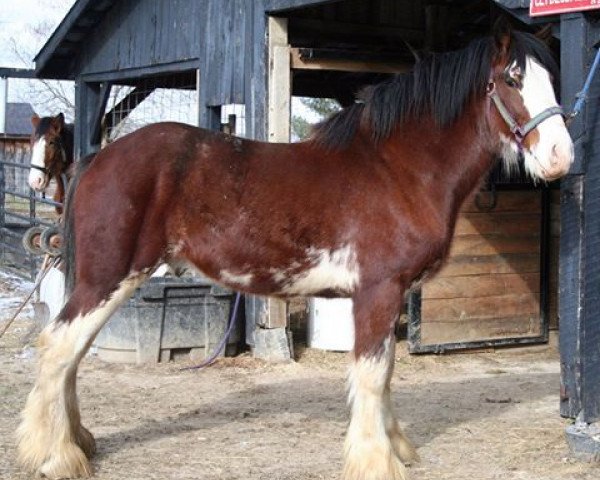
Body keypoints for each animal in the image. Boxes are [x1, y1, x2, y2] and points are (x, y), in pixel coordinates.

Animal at [17, 25, 572, 480]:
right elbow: (373, 375)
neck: (397, 169)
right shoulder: (379, 290)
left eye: (553, 78)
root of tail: (96, 159)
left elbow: (386, 371)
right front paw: (375, 461)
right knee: (59, 348)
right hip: (109, 277)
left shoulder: (385, 296)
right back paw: (56, 456)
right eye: (513, 79)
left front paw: (396, 448)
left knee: (71, 353)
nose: (560, 157)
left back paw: (79, 442)